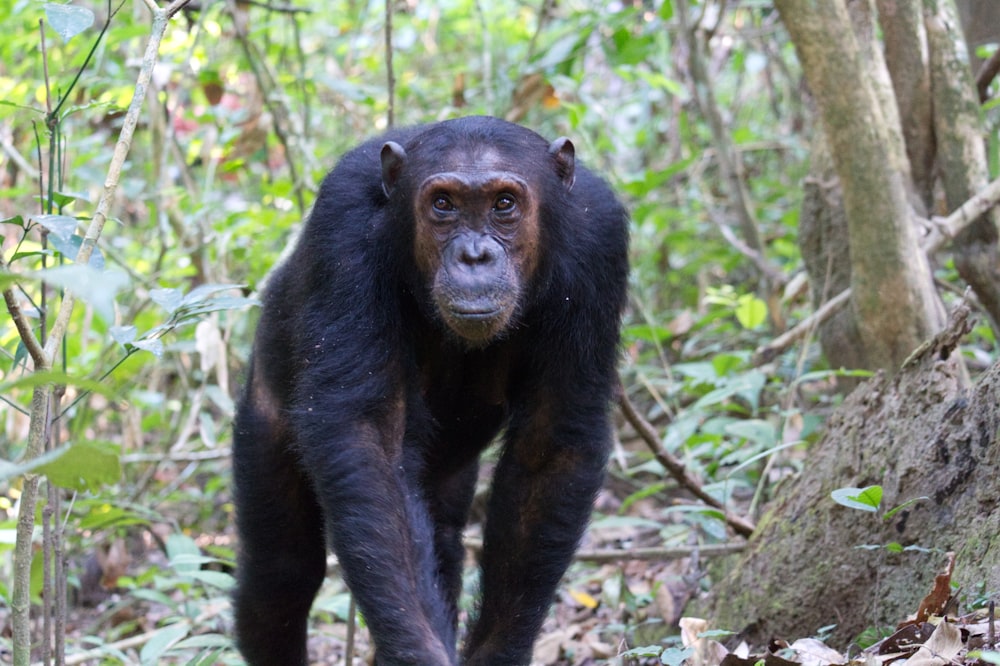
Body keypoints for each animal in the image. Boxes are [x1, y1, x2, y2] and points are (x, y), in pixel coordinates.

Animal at [230, 116, 628, 660]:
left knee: (442, 540)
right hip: (261, 414)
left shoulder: (598, 245)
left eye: (504, 204)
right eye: (443, 204)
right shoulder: (344, 225)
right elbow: (367, 437)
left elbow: (551, 444)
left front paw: (498, 652)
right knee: (280, 576)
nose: (474, 255)